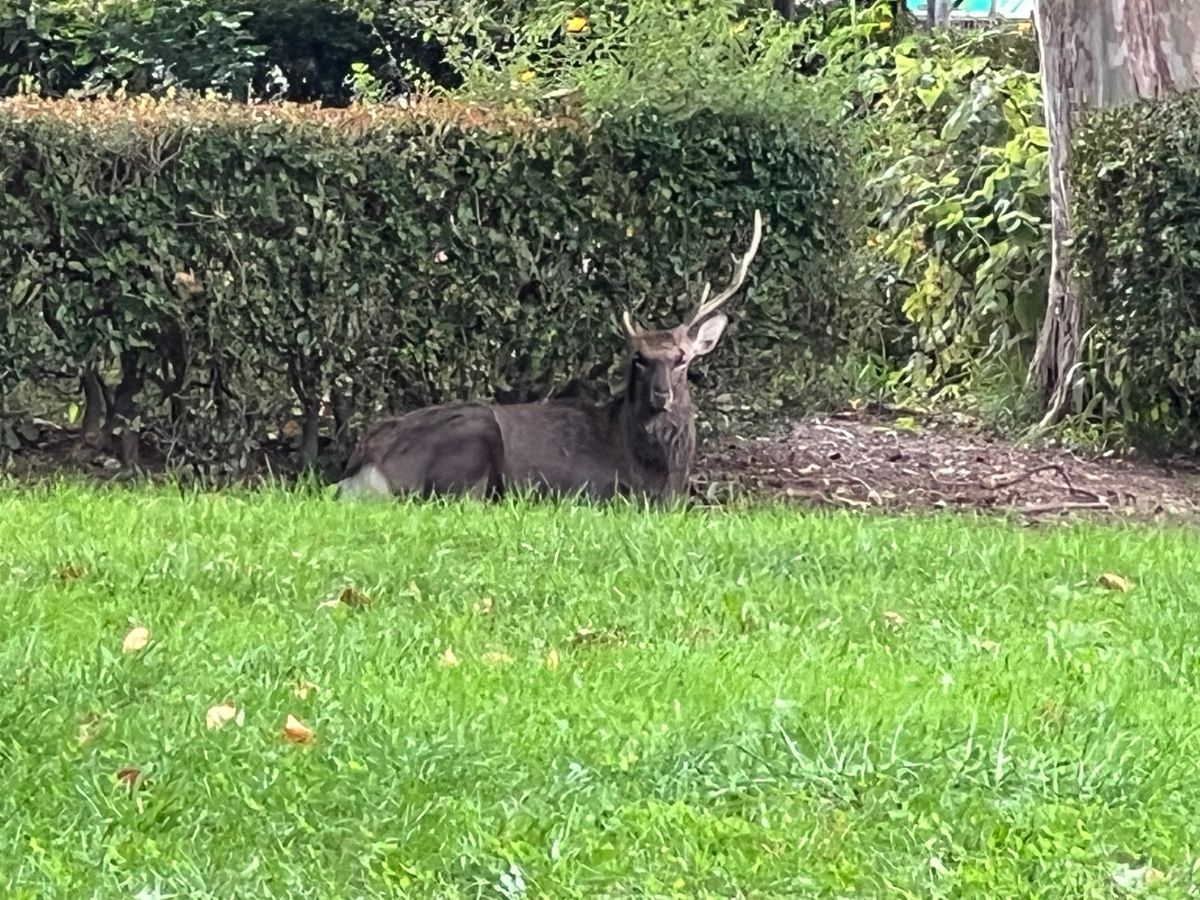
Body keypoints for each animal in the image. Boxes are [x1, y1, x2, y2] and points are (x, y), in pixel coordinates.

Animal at [333, 211, 763, 508]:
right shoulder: (596, 488)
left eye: (682, 359)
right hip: (471, 435)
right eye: (638, 359)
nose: (661, 395)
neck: (656, 473)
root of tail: (364, 463)